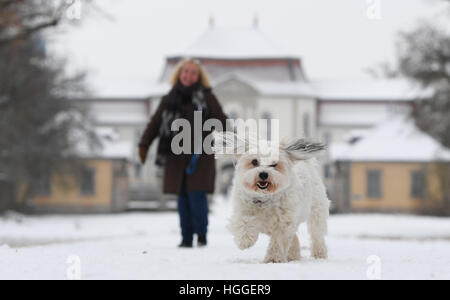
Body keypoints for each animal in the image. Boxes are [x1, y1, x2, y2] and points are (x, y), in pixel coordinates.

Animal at [213, 132, 328, 264]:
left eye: (274, 163)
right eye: (254, 161)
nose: (263, 174)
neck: (265, 198)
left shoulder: (283, 222)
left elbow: (278, 240)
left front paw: (273, 258)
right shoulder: (243, 208)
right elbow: (244, 221)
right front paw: (245, 240)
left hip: (316, 213)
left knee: (317, 235)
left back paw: (319, 254)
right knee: (294, 237)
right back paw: (293, 255)